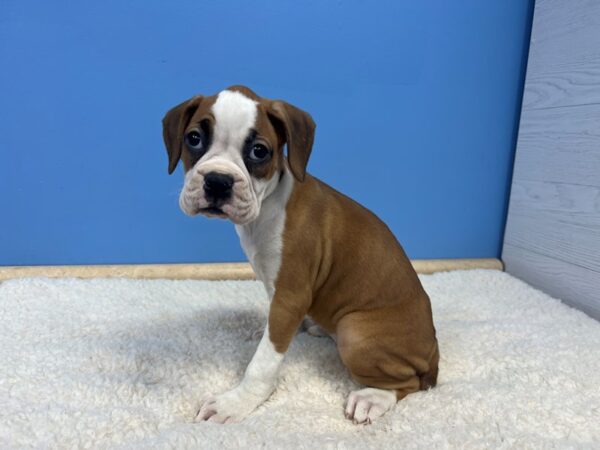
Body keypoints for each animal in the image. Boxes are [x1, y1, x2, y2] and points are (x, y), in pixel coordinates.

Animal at [162, 85, 438, 426]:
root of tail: (434, 349)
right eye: (194, 138)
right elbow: (272, 331)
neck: (267, 205)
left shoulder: (290, 296)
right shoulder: (277, 293)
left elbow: (263, 362)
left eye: (259, 151)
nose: (217, 181)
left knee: (408, 382)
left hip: (356, 334)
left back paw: (373, 397)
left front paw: (236, 403)